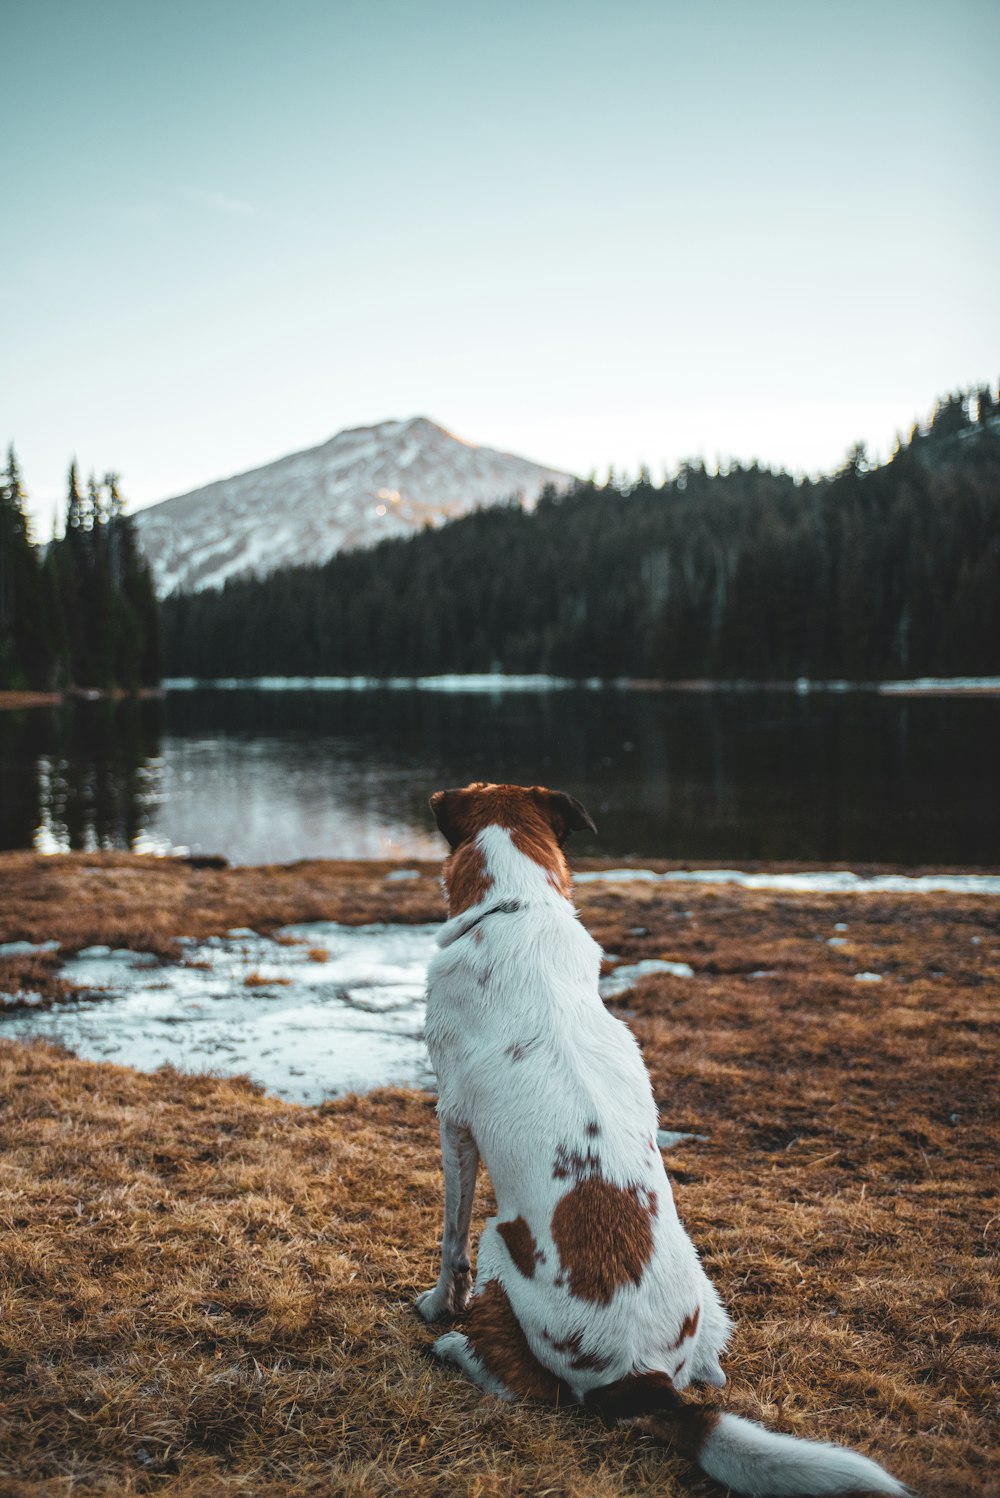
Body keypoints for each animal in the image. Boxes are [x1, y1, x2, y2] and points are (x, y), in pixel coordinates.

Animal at [419, 784, 910, 1498]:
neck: (517, 906)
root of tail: (642, 1378)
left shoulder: (453, 1122)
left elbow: (448, 1240)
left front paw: (437, 1308)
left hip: (500, 1244)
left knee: (529, 1383)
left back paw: (457, 1349)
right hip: (707, 1294)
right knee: (713, 1371)